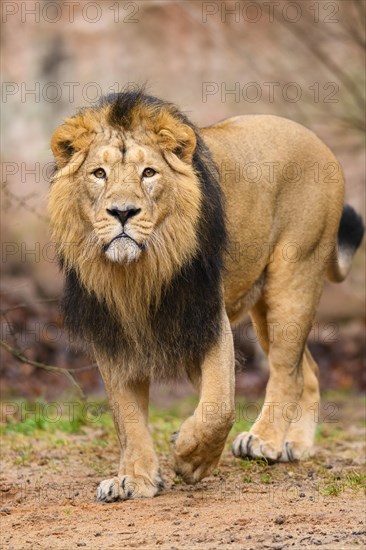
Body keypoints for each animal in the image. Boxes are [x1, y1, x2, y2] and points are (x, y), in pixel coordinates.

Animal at [48, 89, 364, 504]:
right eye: (98, 174)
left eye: (149, 173)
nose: (122, 212)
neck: (137, 273)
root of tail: (314, 138)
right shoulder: (112, 332)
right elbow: (127, 416)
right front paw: (134, 479)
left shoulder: (208, 317)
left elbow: (219, 406)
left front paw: (191, 456)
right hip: (263, 305)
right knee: (306, 368)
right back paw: (295, 444)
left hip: (293, 279)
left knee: (286, 370)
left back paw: (264, 441)